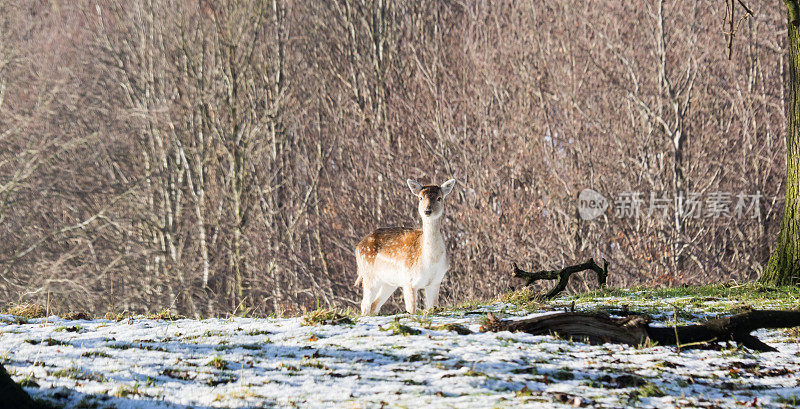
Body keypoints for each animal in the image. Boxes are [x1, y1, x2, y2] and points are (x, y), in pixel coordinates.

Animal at [354, 177, 456, 314]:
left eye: (439, 198)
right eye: (420, 198)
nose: (427, 211)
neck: (430, 261)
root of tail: (358, 246)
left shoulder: (435, 281)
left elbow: (433, 308)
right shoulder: (409, 281)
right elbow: (411, 310)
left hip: (389, 282)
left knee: (374, 305)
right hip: (369, 275)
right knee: (365, 304)